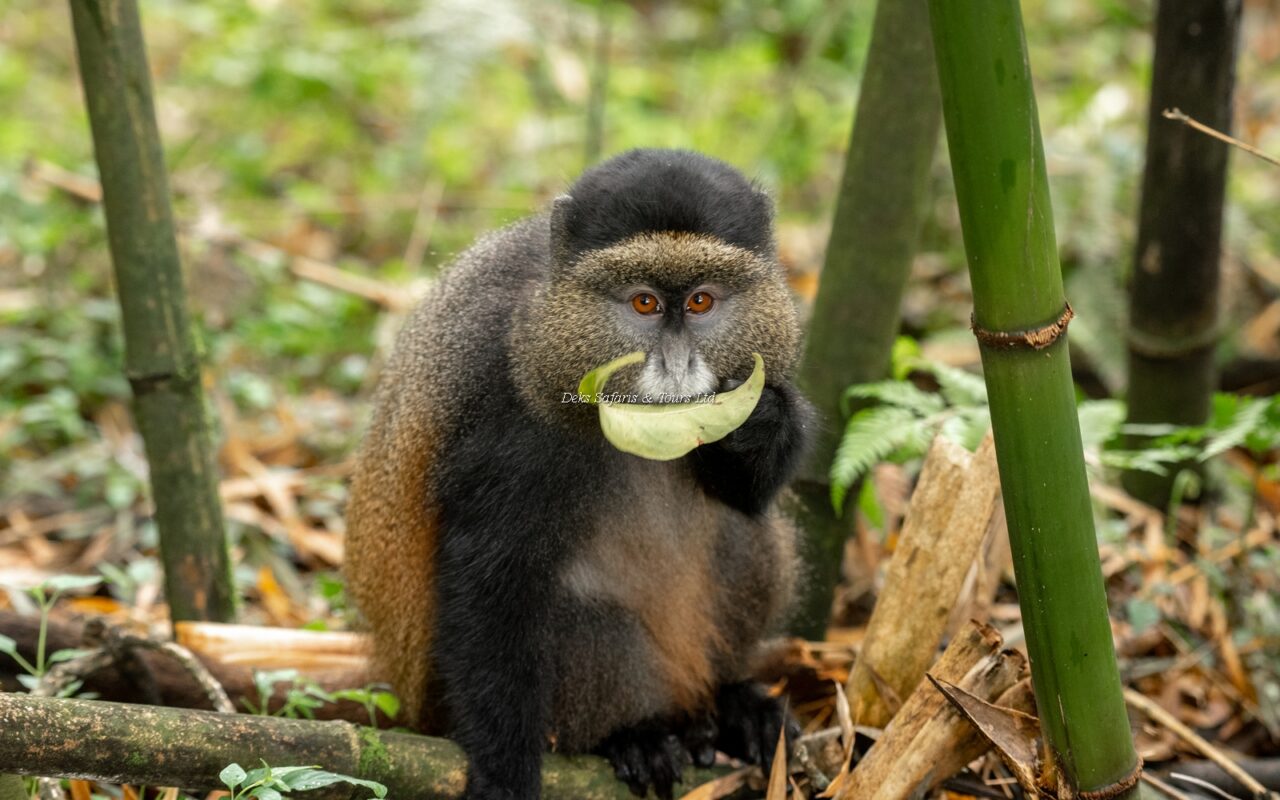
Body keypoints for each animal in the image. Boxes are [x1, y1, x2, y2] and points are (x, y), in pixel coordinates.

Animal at [344, 148, 814, 800]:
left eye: (700, 301)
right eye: (643, 303)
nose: (676, 366)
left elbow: (745, 496)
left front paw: (764, 421)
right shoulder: (508, 402)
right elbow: (490, 575)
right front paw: (504, 771)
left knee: (749, 536)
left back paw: (727, 703)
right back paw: (634, 734)